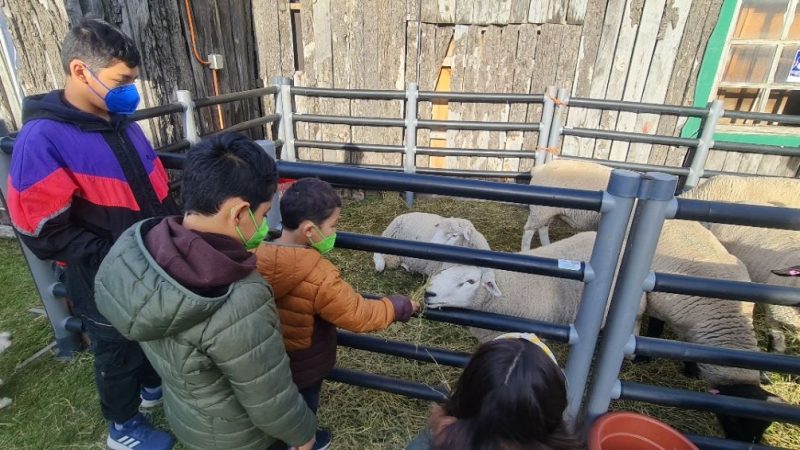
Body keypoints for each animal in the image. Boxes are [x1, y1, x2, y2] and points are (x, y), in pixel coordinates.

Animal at [644, 221, 780, 442]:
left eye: (766, 426)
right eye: (734, 420)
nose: (746, 445)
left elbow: (691, 350)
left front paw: (692, 371)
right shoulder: (657, 305)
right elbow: (655, 330)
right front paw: (643, 358)